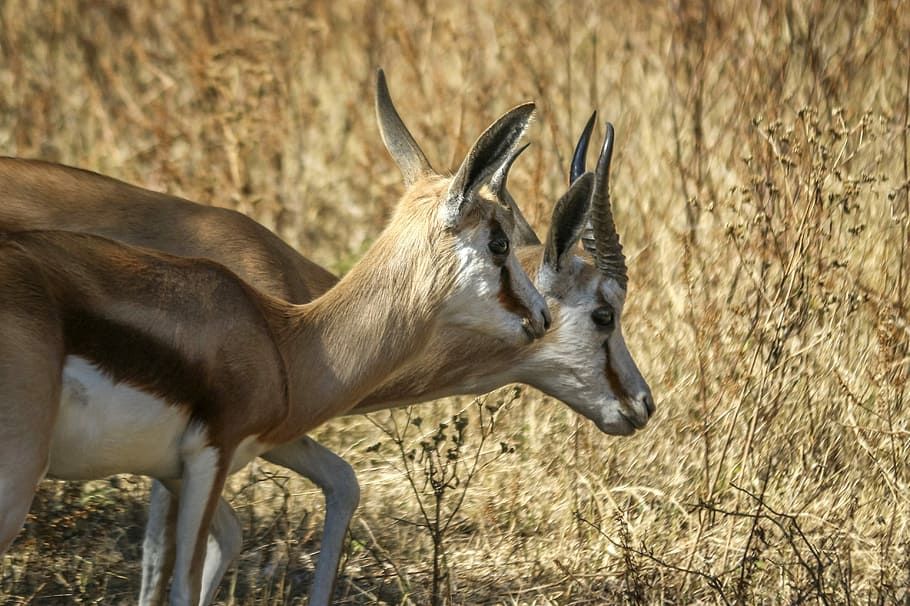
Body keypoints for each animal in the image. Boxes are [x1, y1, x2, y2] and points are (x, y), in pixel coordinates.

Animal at [0, 71, 656, 604]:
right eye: (605, 313)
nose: (642, 403)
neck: (290, 324)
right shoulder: (205, 455)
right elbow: (168, 558)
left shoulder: (257, 445)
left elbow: (337, 486)